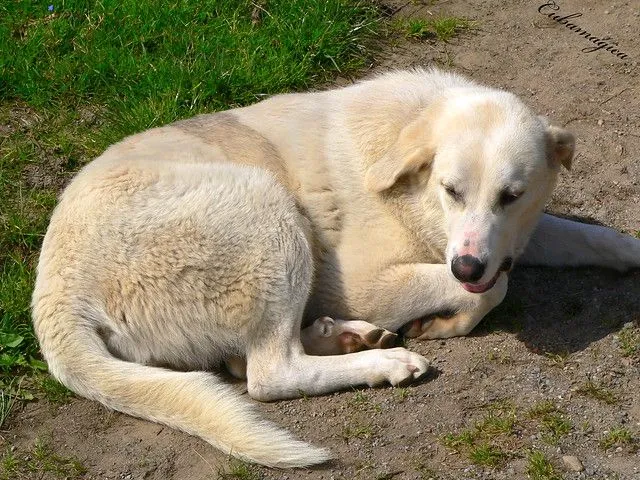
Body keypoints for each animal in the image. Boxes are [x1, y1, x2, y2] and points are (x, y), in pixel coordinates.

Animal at [32, 69, 640, 466]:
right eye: (452, 190)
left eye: (512, 196)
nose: (467, 265)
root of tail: (54, 295)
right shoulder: (365, 281)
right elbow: (497, 288)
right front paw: (449, 319)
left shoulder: (511, 238)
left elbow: (590, 239)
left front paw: (627, 251)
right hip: (270, 213)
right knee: (268, 374)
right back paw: (383, 360)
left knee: (241, 362)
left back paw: (343, 338)